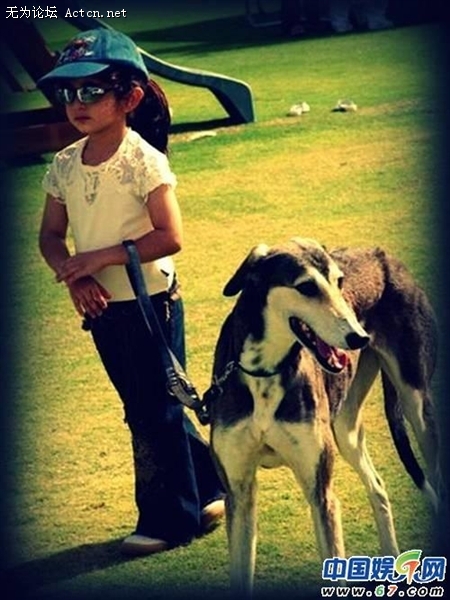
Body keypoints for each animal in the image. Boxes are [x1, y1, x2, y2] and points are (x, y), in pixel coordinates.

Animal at [208, 237, 440, 595]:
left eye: (339, 282)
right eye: (305, 287)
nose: (359, 337)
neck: (265, 373)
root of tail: (385, 257)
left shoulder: (321, 493)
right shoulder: (239, 493)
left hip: (416, 406)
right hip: (346, 429)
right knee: (378, 487)